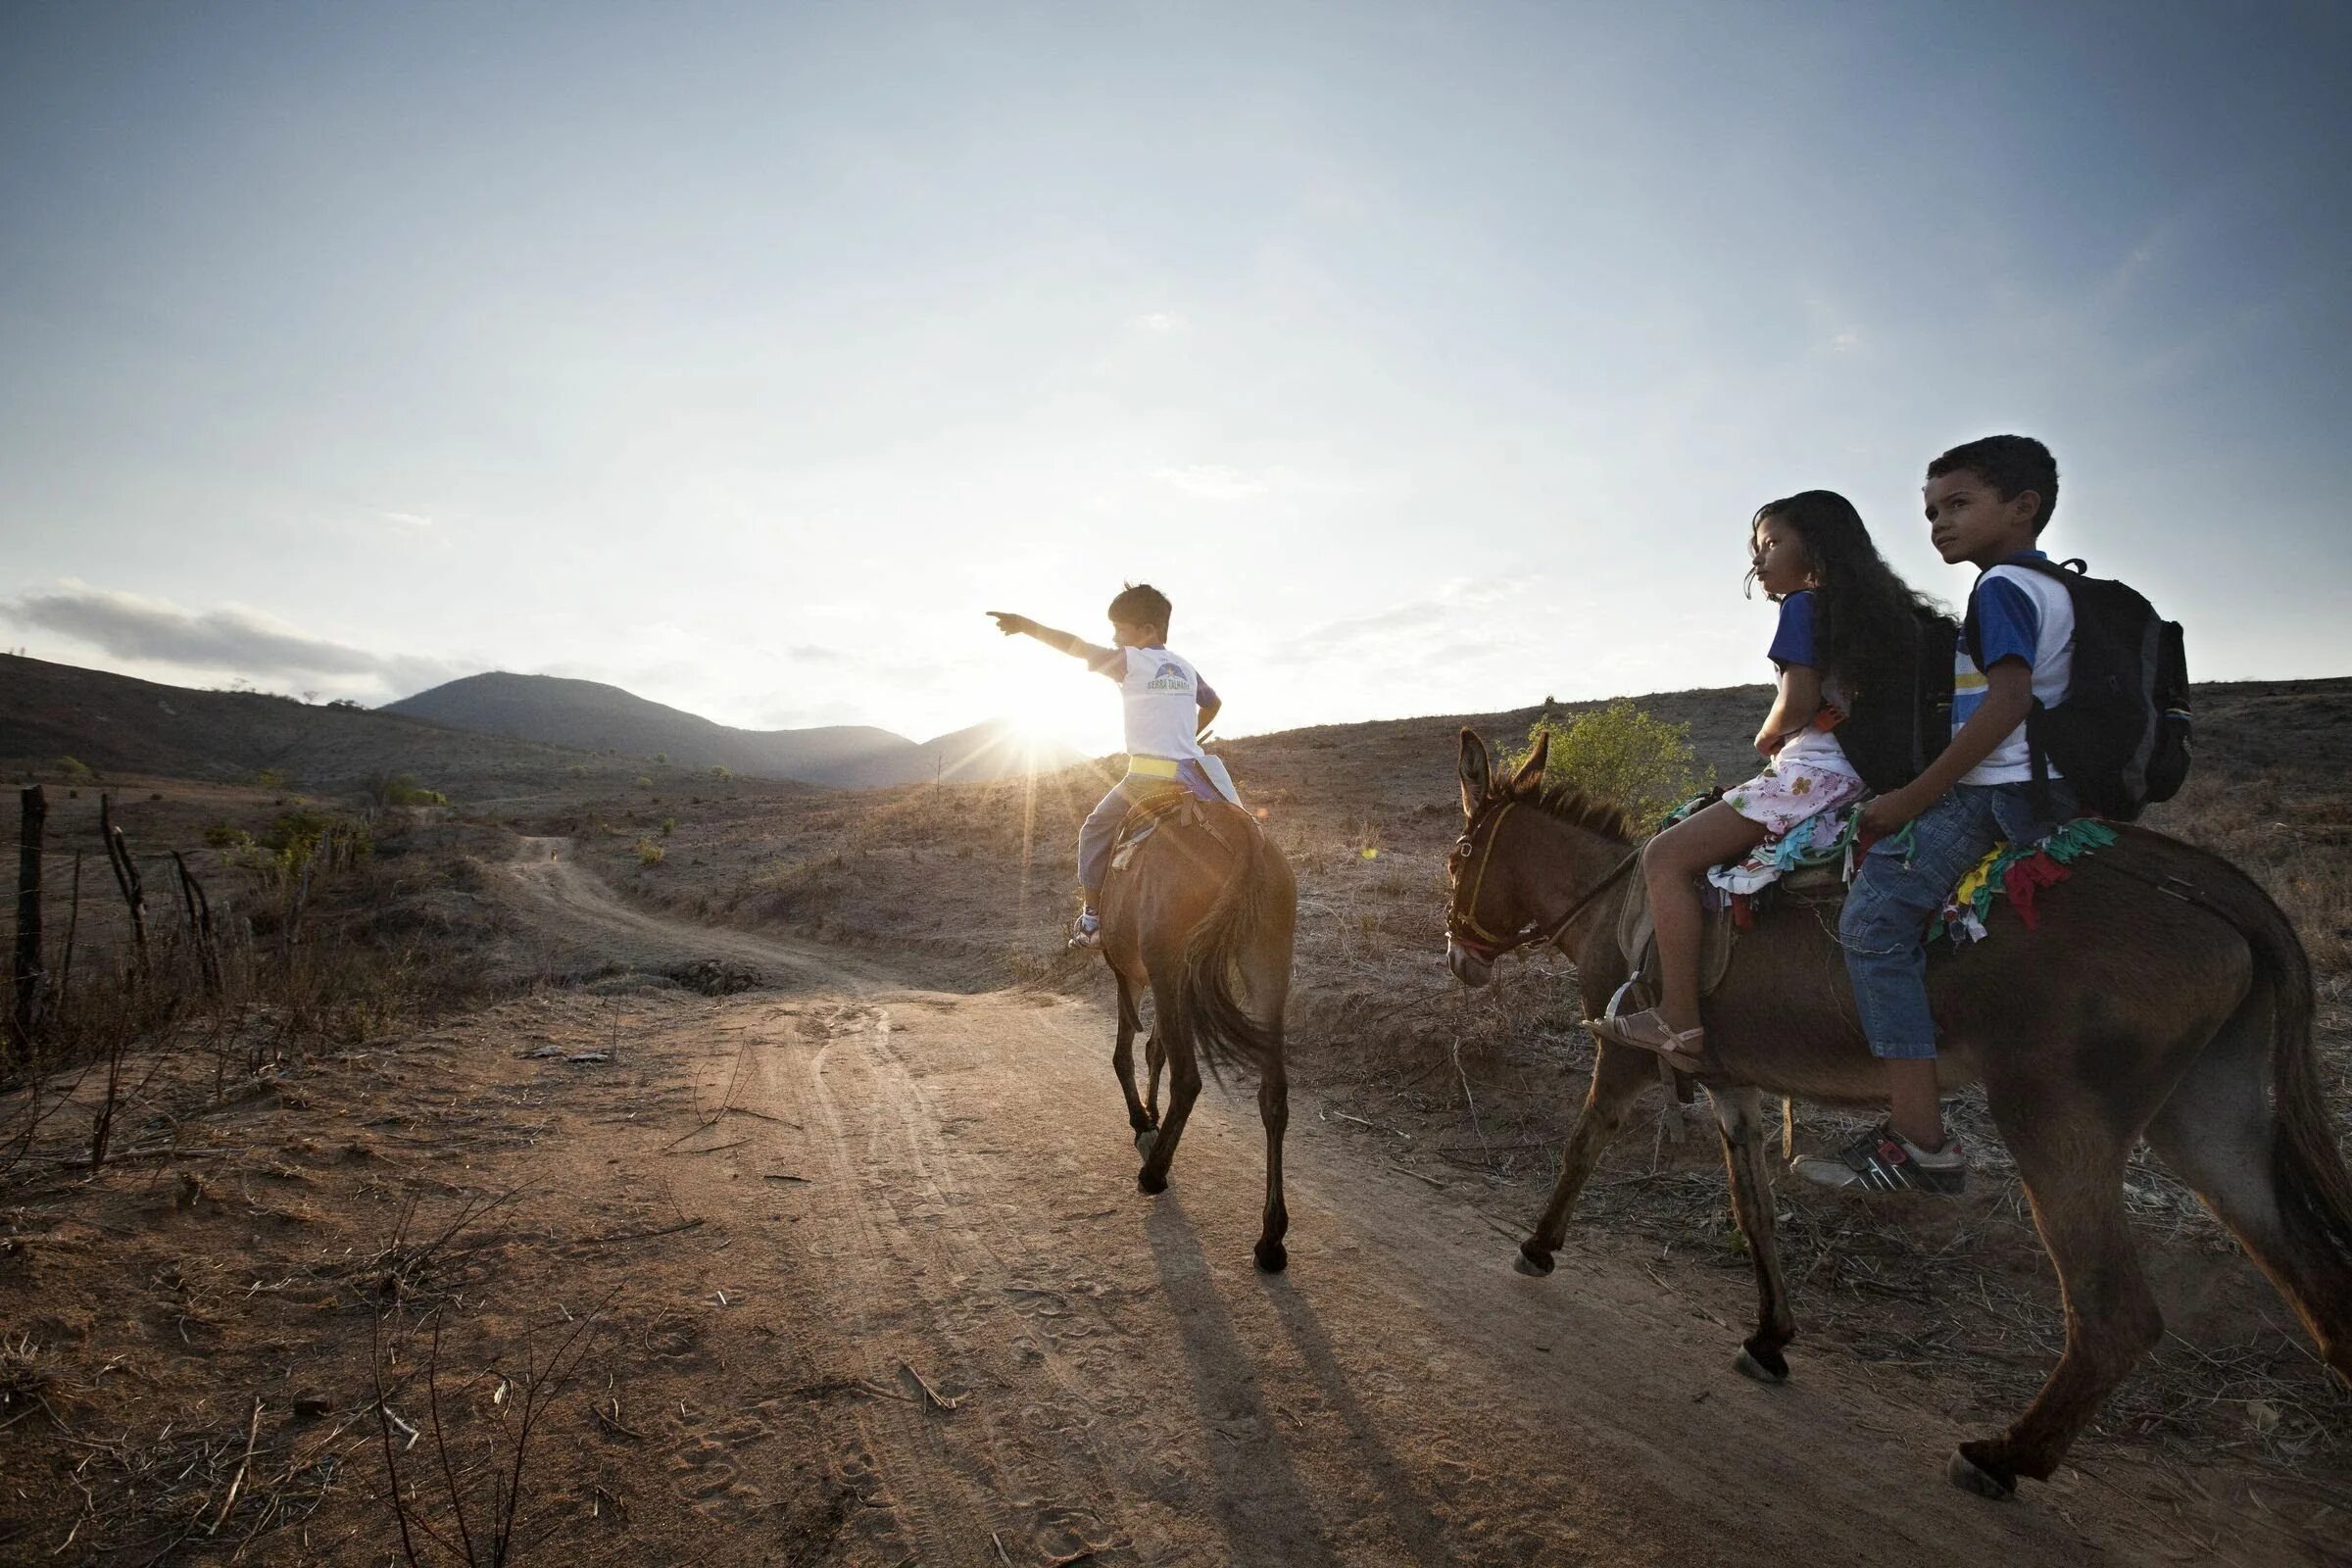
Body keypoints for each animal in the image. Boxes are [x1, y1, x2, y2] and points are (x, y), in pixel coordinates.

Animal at [1091, 799, 1298, 1278]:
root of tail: (1244, 836)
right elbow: (1155, 1050)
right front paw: (1150, 1111)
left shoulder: (1132, 975)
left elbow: (1127, 1052)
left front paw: (1141, 1118)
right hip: (1267, 965)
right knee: (1273, 1095)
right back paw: (1271, 1239)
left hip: (1167, 963)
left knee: (1188, 1079)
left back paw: (1154, 1173)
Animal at [1439, 733, 2342, 1494]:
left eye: (1457, 858)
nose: (1458, 960)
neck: (1614, 898)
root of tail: (2210, 885)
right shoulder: (1732, 1083)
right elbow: (1754, 1208)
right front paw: (1771, 1337)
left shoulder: (1626, 1050)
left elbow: (1582, 1146)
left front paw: (1537, 1249)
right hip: (2206, 1119)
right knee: (2314, 1279)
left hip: (2057, 1120)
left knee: (2114, 1313)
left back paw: (2005, 1457)